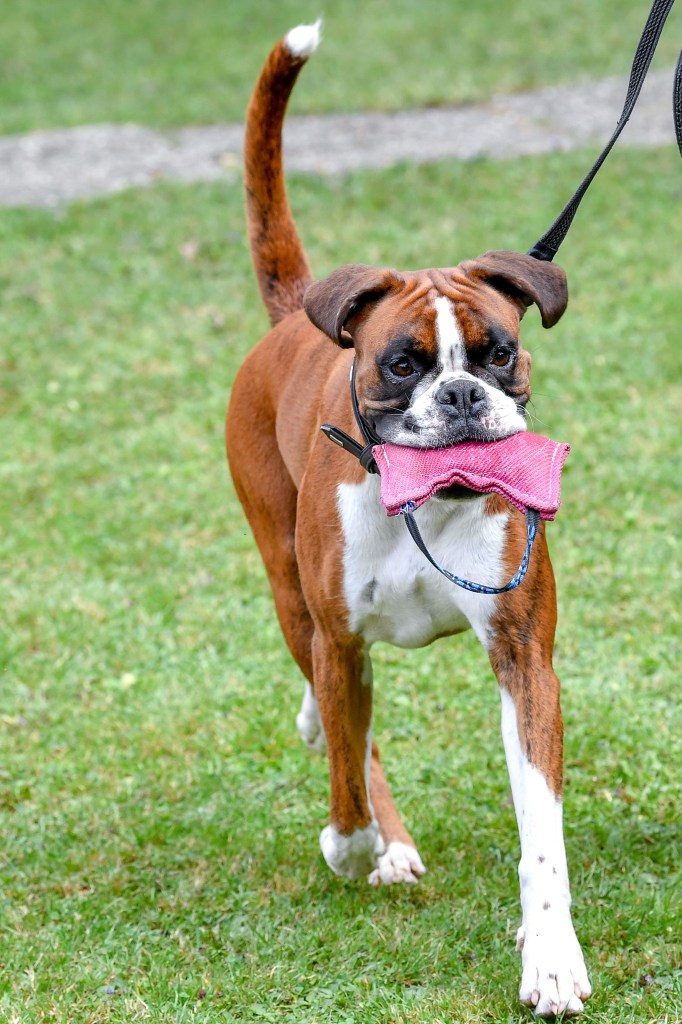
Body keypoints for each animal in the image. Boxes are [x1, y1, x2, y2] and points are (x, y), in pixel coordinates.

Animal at [227, 22, 591, 1017]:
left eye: (500, 353)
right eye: (401, 364)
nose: (462, 396)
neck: (431, 500)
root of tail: (295, 314)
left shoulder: (524, 661)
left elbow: (542, 836)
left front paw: (550, 952)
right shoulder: (342, 639)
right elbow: (349, 790)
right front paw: (360, 846)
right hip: (287, 587)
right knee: (340, 717)